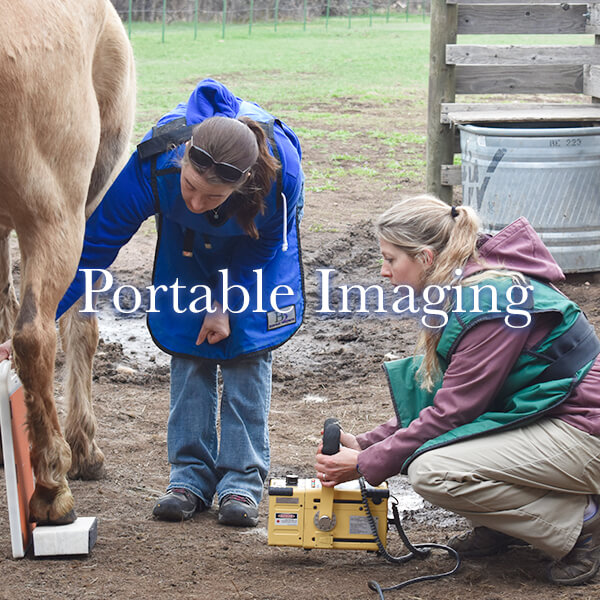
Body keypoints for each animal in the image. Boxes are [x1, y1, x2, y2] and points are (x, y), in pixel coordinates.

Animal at [0, 0, 135, 524]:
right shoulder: (90, 204)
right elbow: (82, 324)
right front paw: (82, 448)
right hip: (56, 216)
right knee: (35, 336)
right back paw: (51, 484)